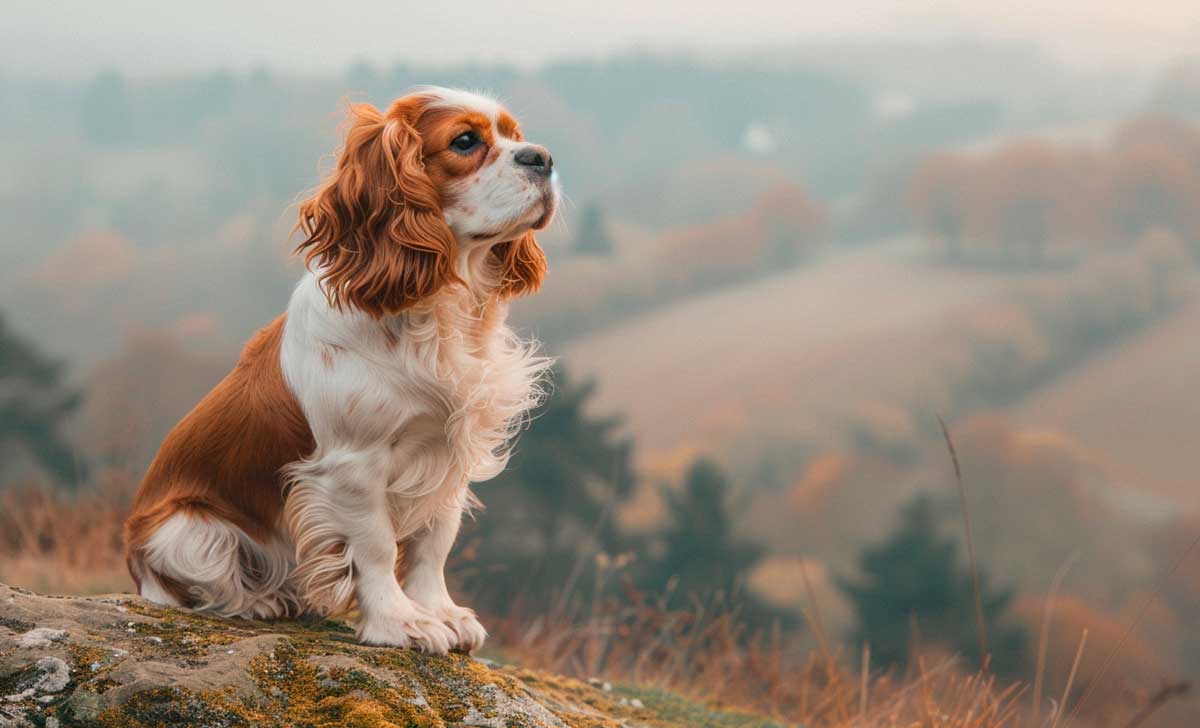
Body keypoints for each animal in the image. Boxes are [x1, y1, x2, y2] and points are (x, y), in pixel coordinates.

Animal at [124, 86, 554, 657]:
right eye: (465, 141)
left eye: (515, 134)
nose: (542, 157)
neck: (434, 310)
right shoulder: (355, 463)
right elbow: (375, 547)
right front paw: (401, 622)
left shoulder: (448, 454)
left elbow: (432, 544)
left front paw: (439, 611)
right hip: (186, 532)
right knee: (185, 587)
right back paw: (260, 601)